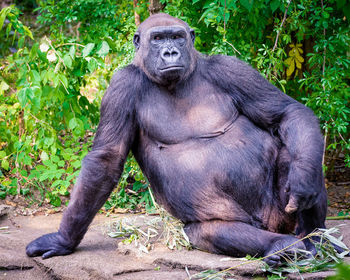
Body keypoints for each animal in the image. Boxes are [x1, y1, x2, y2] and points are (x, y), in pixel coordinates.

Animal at [26, 13, 328, 266]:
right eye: (158, 39)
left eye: (177, 37)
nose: (170, 52)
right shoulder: (121, 86)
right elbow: (106, 158)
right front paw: (63, 241)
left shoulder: (230, 67)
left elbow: (286, 113)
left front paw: (303, 183)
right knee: (211, 230)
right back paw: (282, 246)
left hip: (280, 214)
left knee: (297, 155)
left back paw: (313, 238)